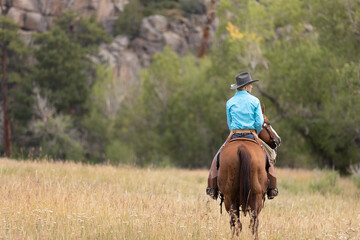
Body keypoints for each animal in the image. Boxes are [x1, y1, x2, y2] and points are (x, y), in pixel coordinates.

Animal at [217, 105, 282, 240]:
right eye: (268, 123)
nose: (278, 139)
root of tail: (242, 148)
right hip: (255, 197)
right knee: (253, 221)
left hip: (230, 197)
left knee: (235, 221)